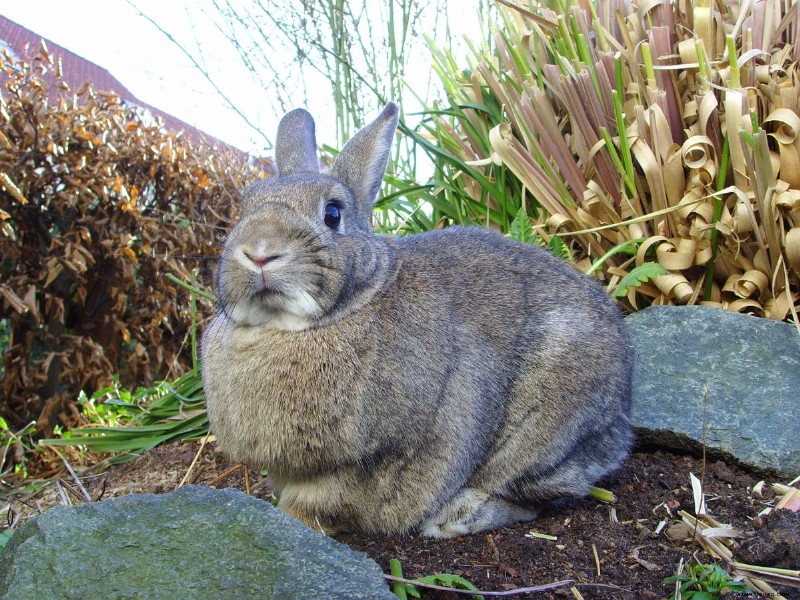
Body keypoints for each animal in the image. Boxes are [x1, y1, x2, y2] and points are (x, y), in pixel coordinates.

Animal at [198, 104, 632, 540]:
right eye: (244, 207)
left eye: (332, 214)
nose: (260, 252)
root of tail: (622, 417)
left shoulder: (362, 464)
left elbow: (316, 505)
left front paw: (290, 522)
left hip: (540, 433)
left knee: (540, 493)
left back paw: (455, 517)